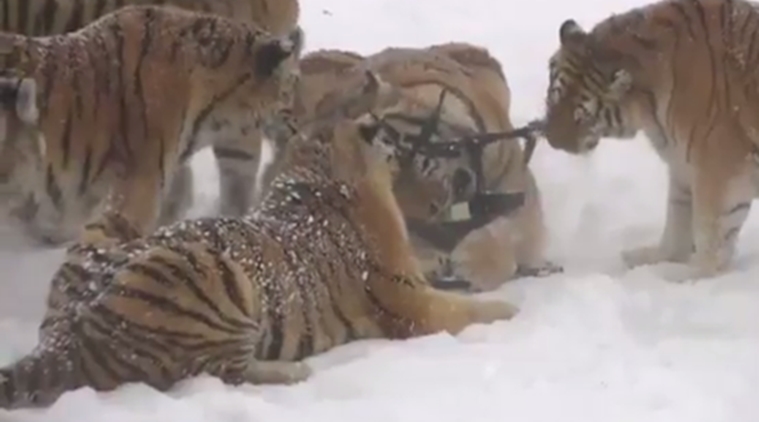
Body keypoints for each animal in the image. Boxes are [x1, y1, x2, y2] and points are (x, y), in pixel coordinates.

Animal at [0, 71, 520, 410]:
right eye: (397, 137)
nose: (440, 196)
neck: (318, 159)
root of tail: (70, 335)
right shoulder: (410, 299)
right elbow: (470, 310)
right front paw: (512, 311)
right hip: (213, 282)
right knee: (214, 371)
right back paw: (292, 371)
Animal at [262, 42, 564, 294]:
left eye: (401, 159)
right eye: (388, 188)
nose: (431, 214)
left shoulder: (518, 189)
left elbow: (508, 231)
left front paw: (476, 263)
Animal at [544, 0, 759, 282]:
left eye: (583, 116)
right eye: (554, 97)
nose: (551, 141)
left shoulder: (720, 167)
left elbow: (711, 231)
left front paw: (688, 276)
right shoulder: (682, 165)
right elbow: (678, 218)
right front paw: (656, 259)